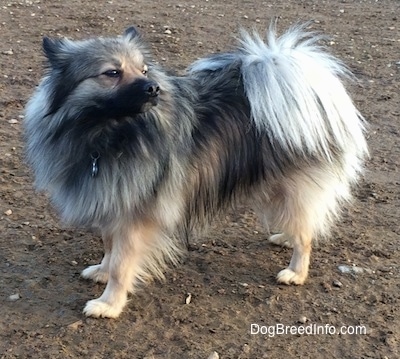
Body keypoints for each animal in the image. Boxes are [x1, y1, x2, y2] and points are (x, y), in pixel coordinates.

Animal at [24, 23, 368, 320]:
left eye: (143, 69)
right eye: (112, 73)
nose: (153, 88)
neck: (108, 135)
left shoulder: (136, 214)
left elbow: (122, 264)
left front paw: (109, 303)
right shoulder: (112, 200)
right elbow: (110, 247)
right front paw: (101, 270)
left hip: (294, 187)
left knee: (306, 234)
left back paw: (295, 272)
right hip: (273, 185)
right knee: (299, 222)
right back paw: (285, 235)